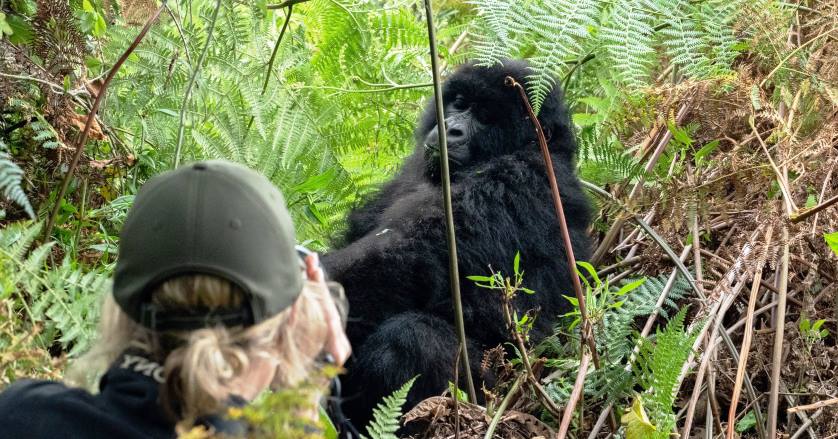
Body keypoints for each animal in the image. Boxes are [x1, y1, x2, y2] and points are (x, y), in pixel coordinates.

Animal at [322, 60, 592, 424]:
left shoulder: (516, 180)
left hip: (495, 394)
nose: (451, 129)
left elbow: (401, 263)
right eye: (460, 103)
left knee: (410, 338)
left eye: (487, 117)